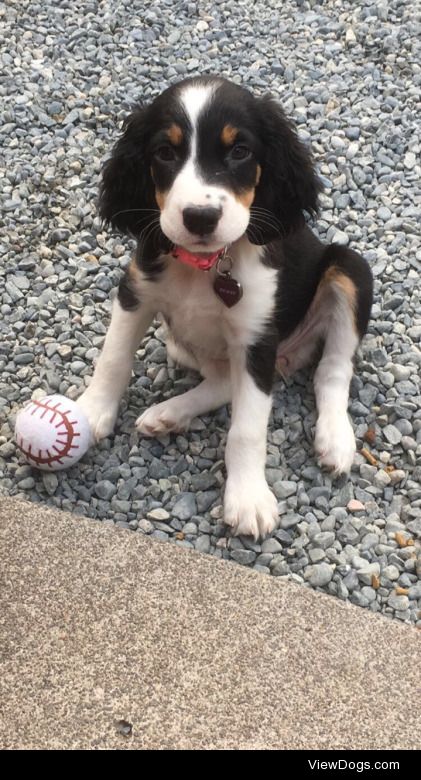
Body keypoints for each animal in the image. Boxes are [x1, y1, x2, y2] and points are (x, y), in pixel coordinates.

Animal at [77, 77, 372, 544]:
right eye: (165, 152)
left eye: (240, 151)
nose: (200, 217)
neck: (207, 264)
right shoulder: (136, 290)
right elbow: (113, 359)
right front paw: (90, 413)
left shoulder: (256, 339)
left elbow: (247, 428)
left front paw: (247, 497)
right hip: (180, 341)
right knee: (220, 383)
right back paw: (168, 414)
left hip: (350, 269)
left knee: (332, 369)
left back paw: (335, 438)